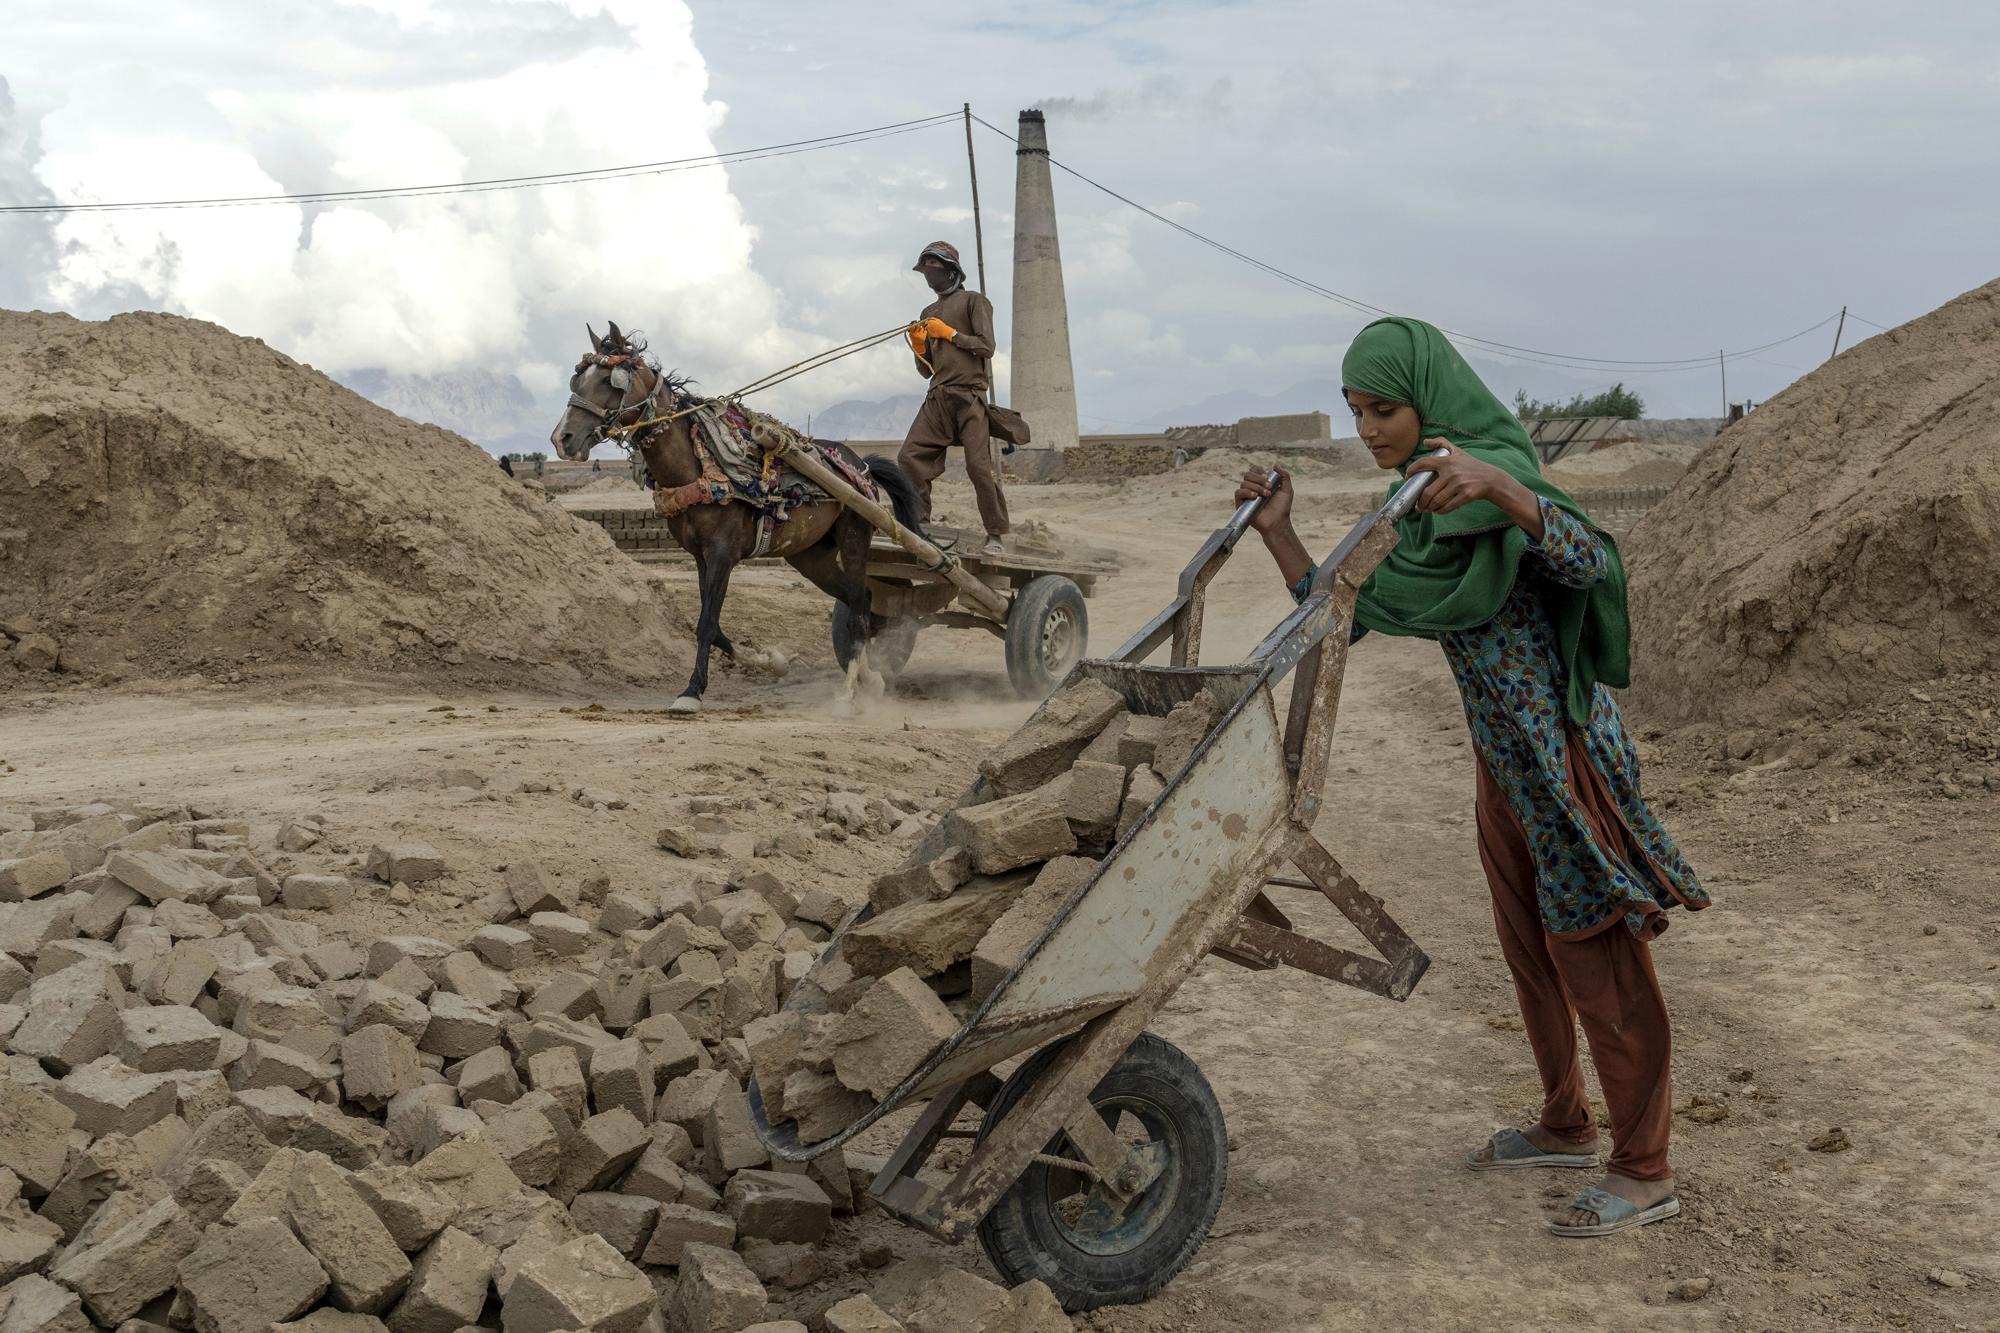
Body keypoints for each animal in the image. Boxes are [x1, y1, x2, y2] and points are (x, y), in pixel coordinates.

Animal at [548, 320, 920, 712]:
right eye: (576, 379)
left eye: (611, 380)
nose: (562, 439)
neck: (700, 465)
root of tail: (860, 466)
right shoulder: (700, 557)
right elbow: (714, 628)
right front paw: (771, 661)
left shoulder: (722, 555)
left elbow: (707, 623)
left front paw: (691, 691)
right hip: (810, 556)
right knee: (858, 598)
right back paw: (870, 678)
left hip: (853, 537)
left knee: (861, 607)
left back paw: (849, 692)